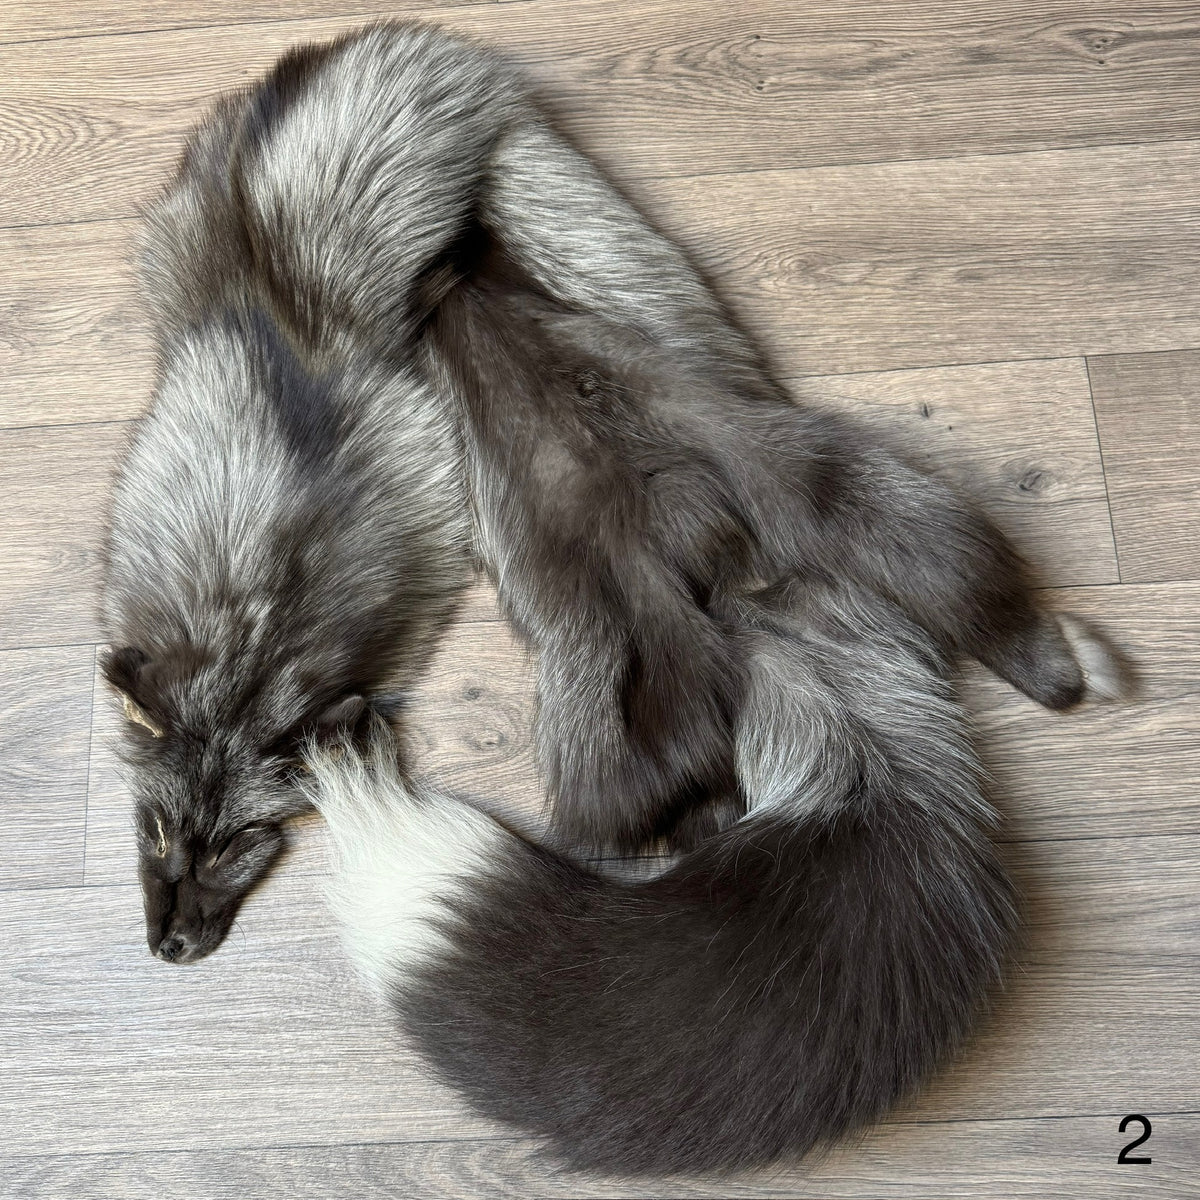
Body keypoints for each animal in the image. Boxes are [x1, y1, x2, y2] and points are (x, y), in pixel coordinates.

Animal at [104, 20, 1126, 1170]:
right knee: (981, 598)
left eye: (235, 845)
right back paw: (1063, 665)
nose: (170, 948)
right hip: (876, 499)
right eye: (156, 833)